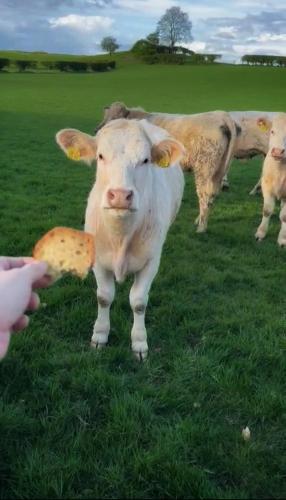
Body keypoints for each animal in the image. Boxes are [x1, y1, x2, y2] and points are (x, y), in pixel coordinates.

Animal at [56, 118, 185, 360]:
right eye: (100, 156)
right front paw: (99, 336)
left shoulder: (151, 261)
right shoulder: (98, 260)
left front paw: (140, 343)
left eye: (145, 160)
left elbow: (139, 302)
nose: (120, 195)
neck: (121, 236)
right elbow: (104, 297)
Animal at [95, 103, 237, 234]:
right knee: (212, 195)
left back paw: (201, 227)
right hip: (218, 170)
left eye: (115, 119)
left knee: (204, 195)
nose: (98, 129)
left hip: (204, 168)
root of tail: (220, 115)